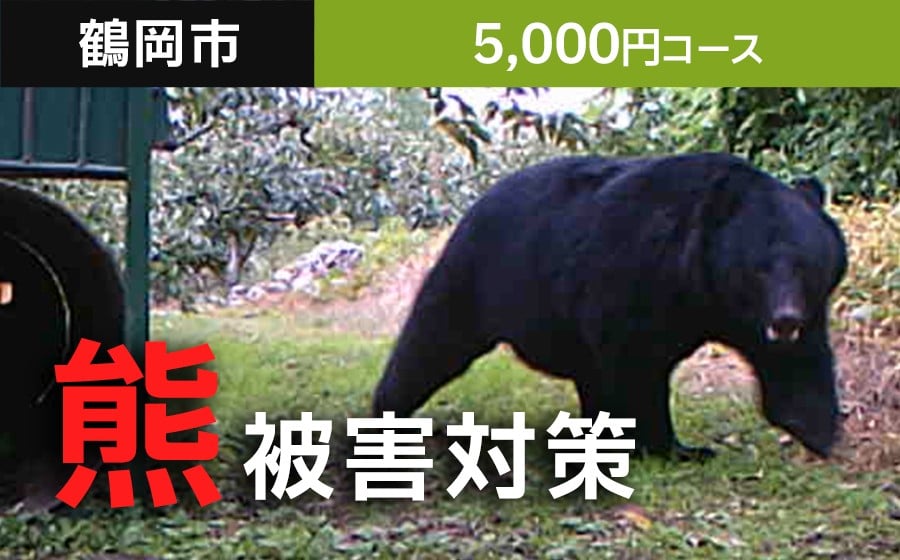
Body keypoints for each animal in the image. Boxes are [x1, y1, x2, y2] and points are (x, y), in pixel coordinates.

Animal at [371, 152, 848, 460]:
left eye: (807, 266)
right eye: (760, 269)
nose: (785, 319)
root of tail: (478, 201)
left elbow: (799, 361)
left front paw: (817, 429)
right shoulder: (631, 277)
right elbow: (636, 365)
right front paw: (662, 445)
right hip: (480, 274)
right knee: (433, 340)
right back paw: (387, 412)